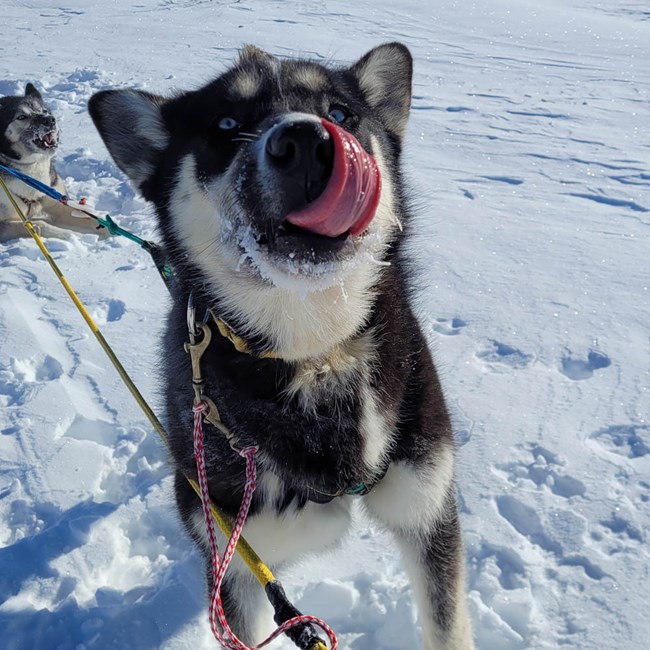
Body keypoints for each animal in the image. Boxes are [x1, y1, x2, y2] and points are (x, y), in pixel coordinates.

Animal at [0, 83, 102, 240]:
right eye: (21, 117)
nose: (50, 119)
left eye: (44, 111)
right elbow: (38, 225)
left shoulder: (56, 202)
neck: (31, 166)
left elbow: (90, 219)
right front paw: (68, 234)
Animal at [88, 45, 474, 648]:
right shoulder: (239, 560)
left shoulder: (427, 507)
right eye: (226, 124)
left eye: (339, 112)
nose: (305, 143)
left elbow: (447, 623)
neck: (317, 351)